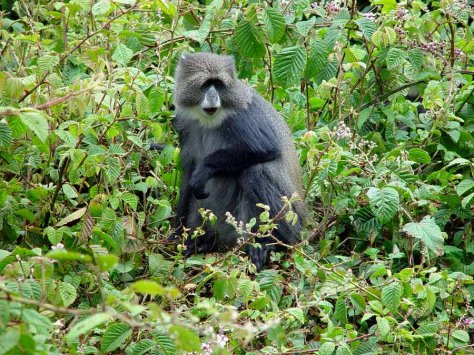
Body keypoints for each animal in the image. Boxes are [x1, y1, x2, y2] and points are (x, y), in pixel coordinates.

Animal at [172, 51, 306, 272]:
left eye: (218, 84)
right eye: (206, 84)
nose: (213, 96)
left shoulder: (242, 117)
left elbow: (266, 148)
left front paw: (204, 171)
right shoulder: (183, 123)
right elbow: (187, 178)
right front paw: (176, 236)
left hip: (290, 219)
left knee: (256, 172)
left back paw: (267, 244)